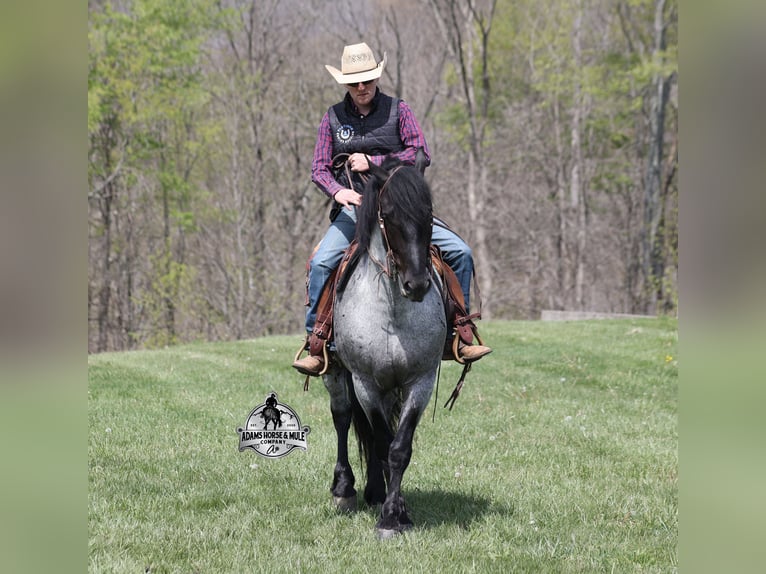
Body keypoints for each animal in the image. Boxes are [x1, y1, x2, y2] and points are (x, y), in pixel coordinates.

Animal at [322, 156, 447, 539]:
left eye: (428, 213)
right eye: (388, 213)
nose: (416, 284)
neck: (391, 310)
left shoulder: (420, 380)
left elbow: (397, 448)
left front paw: (396, 513)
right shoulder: (365, 381)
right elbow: (378, 440)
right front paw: (390, 514)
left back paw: (376, 492)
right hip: (337, 373)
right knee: (343, 416)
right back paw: (344, 489)